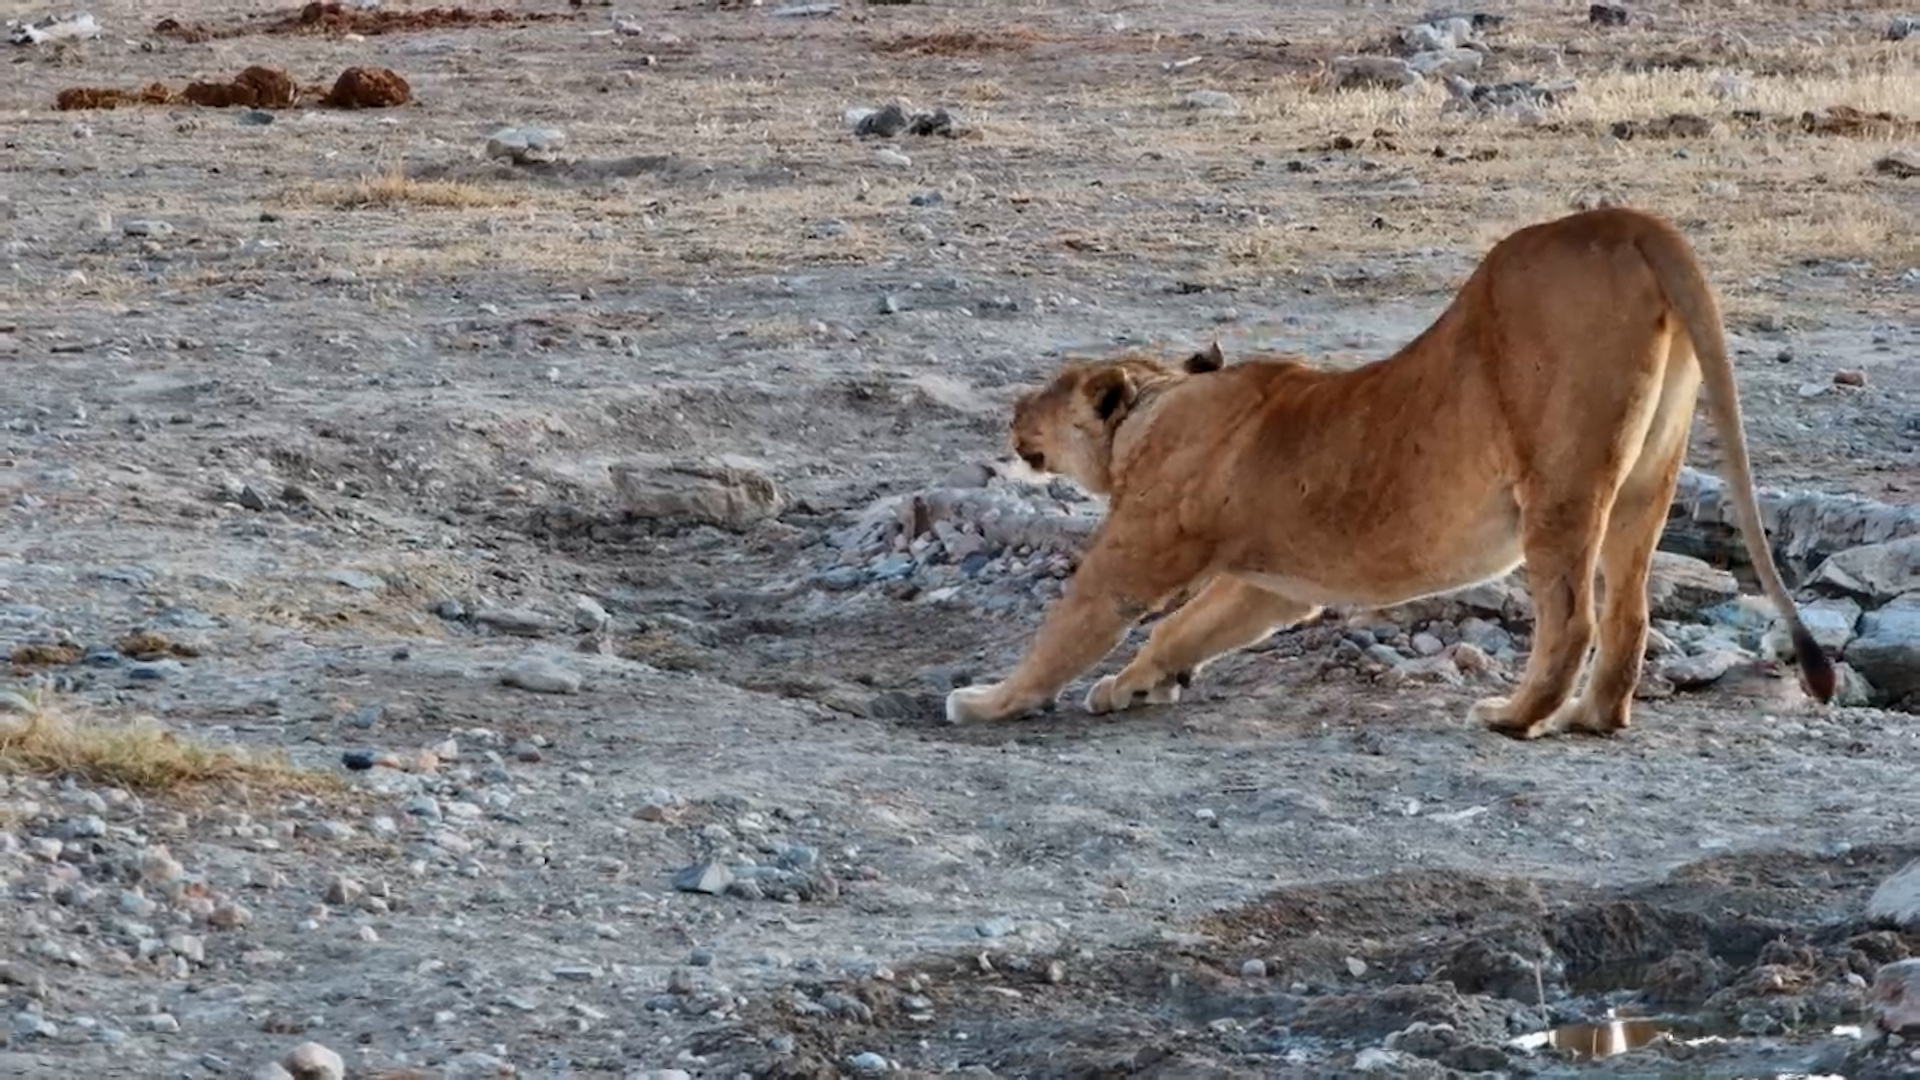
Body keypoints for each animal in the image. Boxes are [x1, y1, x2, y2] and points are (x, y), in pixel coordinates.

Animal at [947, 206, 1837, 739]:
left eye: (1050, 389)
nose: (1013, 411)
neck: (1162, 402)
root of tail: (1628, 219)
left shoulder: (1139, 554)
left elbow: (1073, 626)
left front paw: (986, 701)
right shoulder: (1273, 586)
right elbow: (1181, 631)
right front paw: (1135, 686)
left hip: (1560, 480)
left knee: (1573, 618)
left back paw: (1512, 716)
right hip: (1648, 478)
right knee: (1628, 614)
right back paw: (1591, 717)